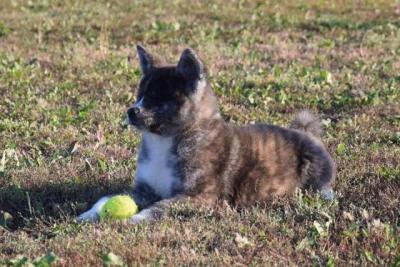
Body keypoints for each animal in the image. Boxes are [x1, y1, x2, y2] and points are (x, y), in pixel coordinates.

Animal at [77, 45, 334, 224]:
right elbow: (105, 198)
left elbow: (160, 207)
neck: (167, 139)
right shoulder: (144, 189)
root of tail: (306, 132)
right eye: (140, 95)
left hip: (316, 169)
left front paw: (135, 219)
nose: (131, 111)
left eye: (157, 97)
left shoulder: (199, 197)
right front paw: (89, 213)